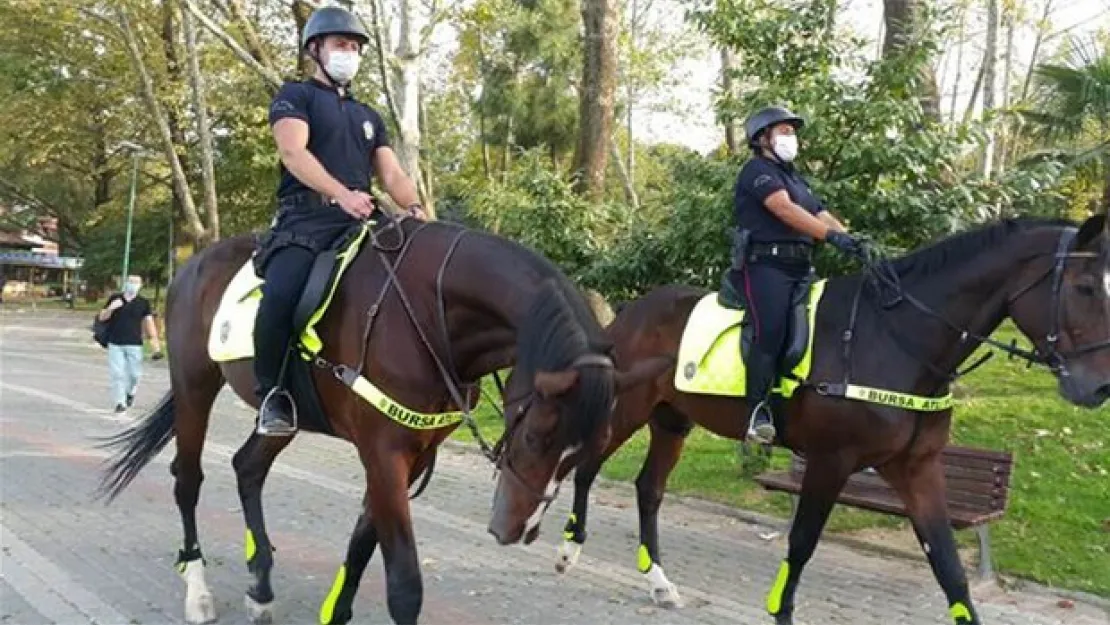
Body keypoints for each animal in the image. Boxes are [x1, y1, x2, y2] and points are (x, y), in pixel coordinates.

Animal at [95, 218, 661, 625]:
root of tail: (195, 264)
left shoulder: (414, 454)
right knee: (188, 480)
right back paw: (198, 589)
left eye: (594, 446)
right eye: (540, 435)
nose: (516, 529)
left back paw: (261, 584)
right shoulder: (384, 451)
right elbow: (405, 582)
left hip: (282, 412)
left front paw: (335, 611)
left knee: (247, 467)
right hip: (195, 388)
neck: (430, 314)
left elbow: (365, 539)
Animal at [550, 216, 1105, 625]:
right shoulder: (830, 461)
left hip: (671, 421)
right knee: (587, 468)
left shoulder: (917, 467)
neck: (895, 337)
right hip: (628, 410)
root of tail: (632, 310)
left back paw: (659, 582)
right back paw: (568, 552)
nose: (1098, 387)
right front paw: (781, 611)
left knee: (649, 489)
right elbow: (800, 545)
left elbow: (947, 563)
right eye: (1084, 287)